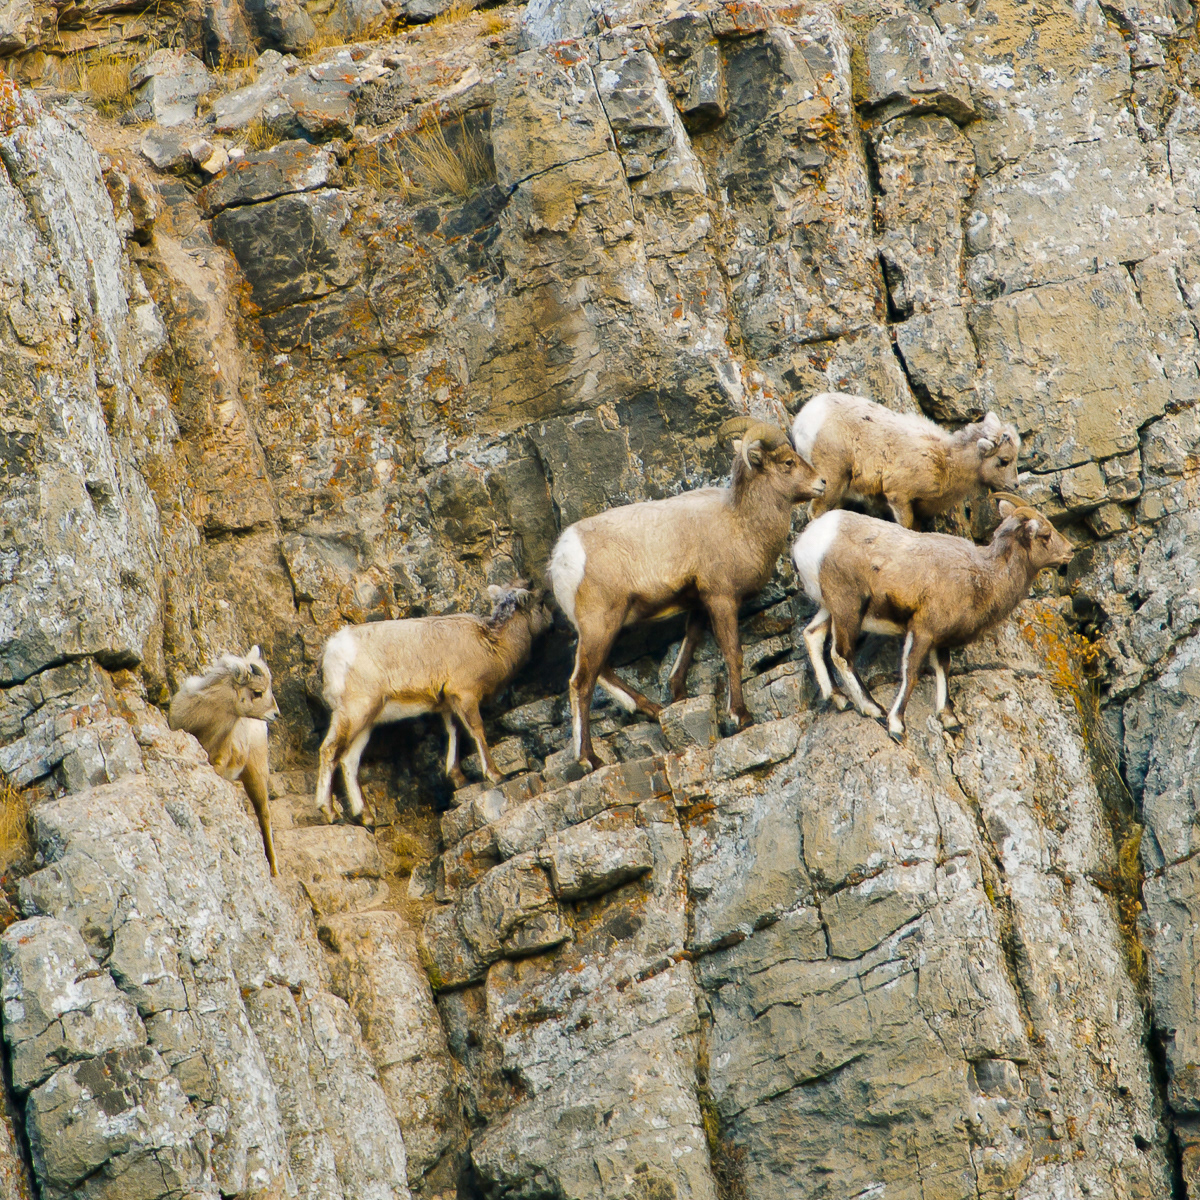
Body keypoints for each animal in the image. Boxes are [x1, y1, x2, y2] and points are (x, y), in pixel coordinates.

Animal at [314, 584, 553, 824]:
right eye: (541, 603)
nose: (552, 620)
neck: (493, 644)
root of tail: (332, 650)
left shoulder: (449, 705)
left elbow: (454, 732)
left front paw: (458, 778)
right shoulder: (465, 695)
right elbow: (476, 731)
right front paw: (496, 775)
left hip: (366, 721)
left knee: (349, 760)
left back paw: (367, 816)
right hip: (356, 711)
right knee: (330, 751)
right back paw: (330, 812)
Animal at [548, 418, 826, 769]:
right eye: (788, 462)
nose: (822, 482)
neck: (740, 523)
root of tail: (562, 557)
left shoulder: (700, 603)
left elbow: (690, 641)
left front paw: (678, 693)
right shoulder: (722, 598)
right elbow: (732, 653)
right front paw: (740, 716)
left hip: (605, 626)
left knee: (603, 671)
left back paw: (652, 709)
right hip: (600, 624)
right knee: (581, 683)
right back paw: (589, 759)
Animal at [790, 391, 1021, 529]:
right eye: (1004, 460)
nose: (1015, 485)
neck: (945, 463)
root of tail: (805, 420)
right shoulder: (899, 497)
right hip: (831, 480)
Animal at [791, 497, 1073, 740]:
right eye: (1045, 535)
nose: (1070, 550)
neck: (983, 577)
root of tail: (808, 541)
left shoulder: (940, 639)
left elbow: (942, 669)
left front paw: (950, 720)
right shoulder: (923, 630)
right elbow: (912, 671)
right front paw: (897, 725)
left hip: (830, 609)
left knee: (812, 635)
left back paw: (840, 700)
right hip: (848, 609)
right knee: (841, 655)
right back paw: (873, 708)